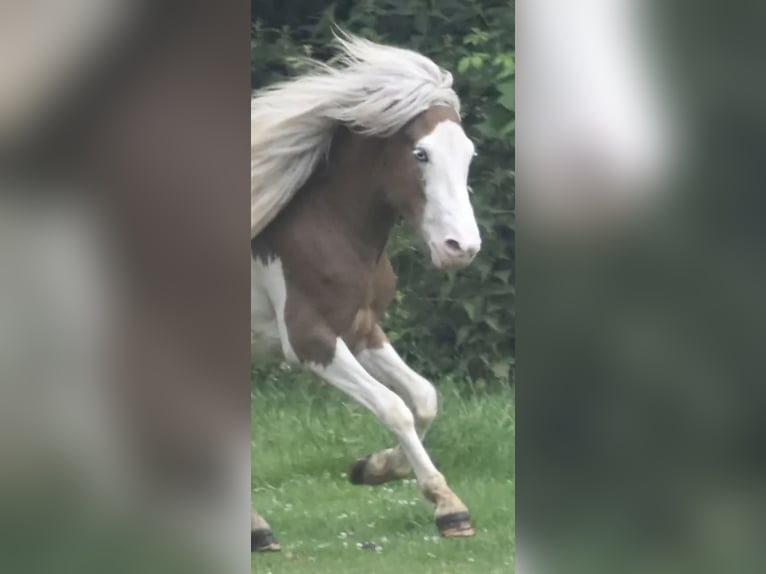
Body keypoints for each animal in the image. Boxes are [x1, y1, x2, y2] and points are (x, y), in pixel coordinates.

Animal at [250, 34, 481, 551]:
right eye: (420, 154)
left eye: (469, 154)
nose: (461, 248)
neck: (324, 227)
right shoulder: (311, 342)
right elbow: (394, 407)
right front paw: (449, 508)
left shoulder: (361, 330)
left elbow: (424, 398)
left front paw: (373, 468)